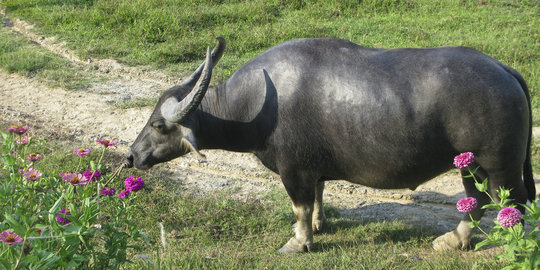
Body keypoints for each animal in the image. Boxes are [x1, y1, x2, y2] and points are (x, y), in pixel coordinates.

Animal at [127, 37, 536, 253]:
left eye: (159, 125)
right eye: (150, 118)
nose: (132, 155)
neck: (255, 105)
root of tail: (504, 71)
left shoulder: (293, 171)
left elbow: (300, 207)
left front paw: (299, 242)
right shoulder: (313, 170)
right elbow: (319, 197)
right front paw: (319, 226)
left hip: (495, 165)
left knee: (508, 203)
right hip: (468, 164)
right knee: (478, 200)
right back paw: (454, 240)